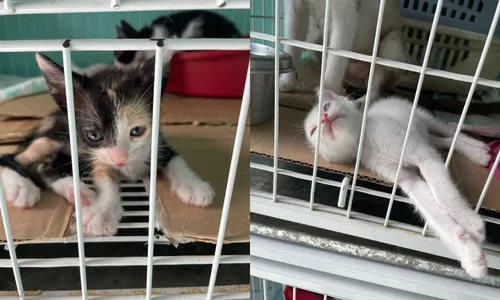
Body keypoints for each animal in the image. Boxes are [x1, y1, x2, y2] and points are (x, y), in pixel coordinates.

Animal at [0, 53, 214, 237]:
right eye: (94, 135)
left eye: (137, 131)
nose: (120, 159)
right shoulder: (98, 155)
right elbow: (105, 176)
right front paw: (102, 213)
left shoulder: (157, 142)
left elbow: (175, 159)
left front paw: (194, 187)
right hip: (58, 134)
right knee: (12, 158)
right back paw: (21, 187)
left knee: (44, 166)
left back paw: (77, 192)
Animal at [280, 0, 408, 103]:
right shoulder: (295, 8)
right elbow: (291, 44)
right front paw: (287, 81)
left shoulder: (345, 13)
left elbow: (336, 57)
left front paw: (327, 93)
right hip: (314, 36)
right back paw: (343, 93)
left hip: (391, 44)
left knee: (375, 90)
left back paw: (359, 103)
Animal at [304, 88, 492, 278]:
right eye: (314, 131)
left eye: (326, 106)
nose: (324, 117)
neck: (364, 143)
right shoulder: (407, 178)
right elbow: (430, 209)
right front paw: (470, 255)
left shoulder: (421, 154)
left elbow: (440, 193)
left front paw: (471, 223)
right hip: (422, 136)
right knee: (441, 140)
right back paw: (479, 152)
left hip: (421, 116)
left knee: (449, 131)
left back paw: (478, 149)